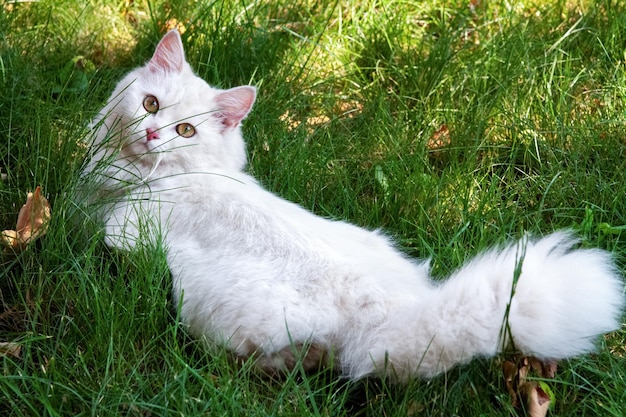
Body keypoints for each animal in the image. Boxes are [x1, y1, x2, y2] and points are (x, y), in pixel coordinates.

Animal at [81, 30, 620, 380]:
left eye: (186, 130)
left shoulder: (122, 228)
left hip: (215, 309)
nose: (153, 134)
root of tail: (393, 309)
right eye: (150, 105)